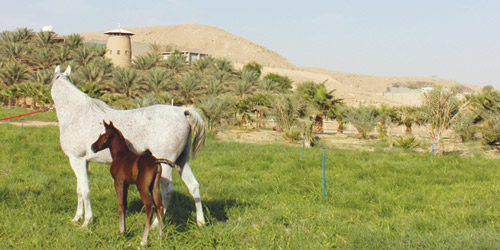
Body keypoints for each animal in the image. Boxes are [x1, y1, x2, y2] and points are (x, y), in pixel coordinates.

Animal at [50, 66, 205, 227]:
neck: (77, 114)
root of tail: (181, 111)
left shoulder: (77, 160)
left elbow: (85, 190)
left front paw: (87, 221)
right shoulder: (83, 162)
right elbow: (79, 189)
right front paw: (77, 217)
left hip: (166, 166)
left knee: (167, 191)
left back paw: (155, 224)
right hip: (182, 162)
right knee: (194, 186)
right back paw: (201, 221)